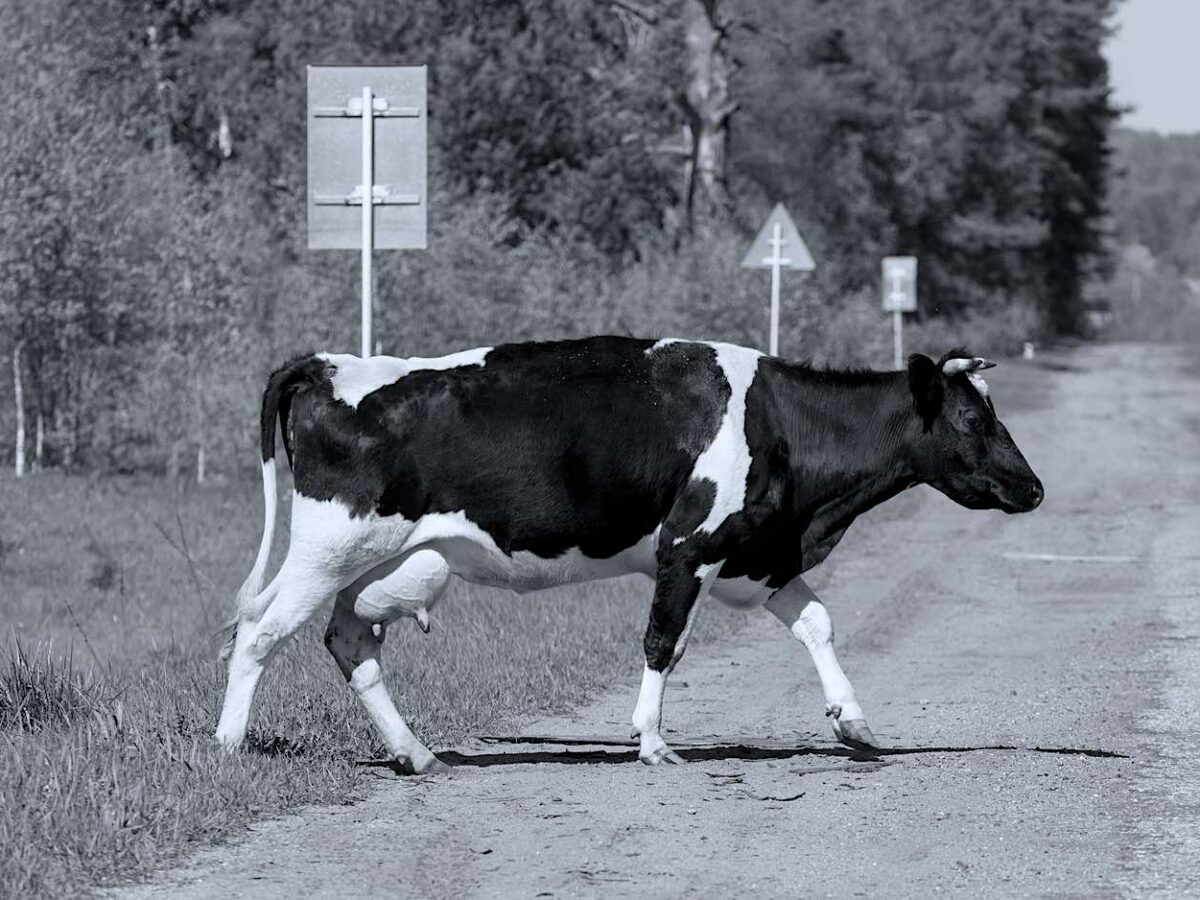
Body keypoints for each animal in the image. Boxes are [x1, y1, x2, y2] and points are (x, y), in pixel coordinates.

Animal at [216, 336, 1042, 773]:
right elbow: (662, 644)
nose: (1034, 489)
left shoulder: (761, 555)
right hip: (328, 545)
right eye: (973, 419)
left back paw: (416, 753)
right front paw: (650, 741)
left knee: (347, 639)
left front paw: (853, 722)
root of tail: (332, 363)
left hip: (388, 560)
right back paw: (228, 745)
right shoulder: (688, 549)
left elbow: (819, 623)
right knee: (258, 630)